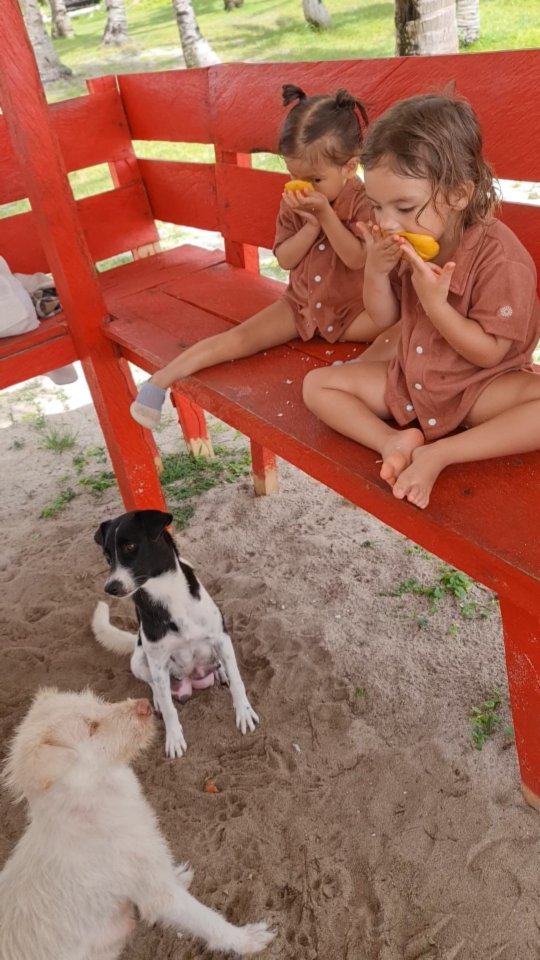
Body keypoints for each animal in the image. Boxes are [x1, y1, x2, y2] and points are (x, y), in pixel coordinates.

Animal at [0, 688, 275, 960]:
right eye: (91, 727)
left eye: (97, 702)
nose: (144, 705)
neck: (90, 805)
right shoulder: (158, 895)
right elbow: (206, 920)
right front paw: (247, 939)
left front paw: (178, 875)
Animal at [92, 509, 259, 758]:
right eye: (107, 556)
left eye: (130, 545)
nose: (110, 587)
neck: (167, 593)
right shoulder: (157, 660)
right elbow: (170, 708)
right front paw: (173, 737)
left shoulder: (221, 638)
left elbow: (238, 682)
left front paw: (244, 711)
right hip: (138, 661)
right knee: (154, 685)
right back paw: (158, 700)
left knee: (221, 666)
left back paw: (221, 672)